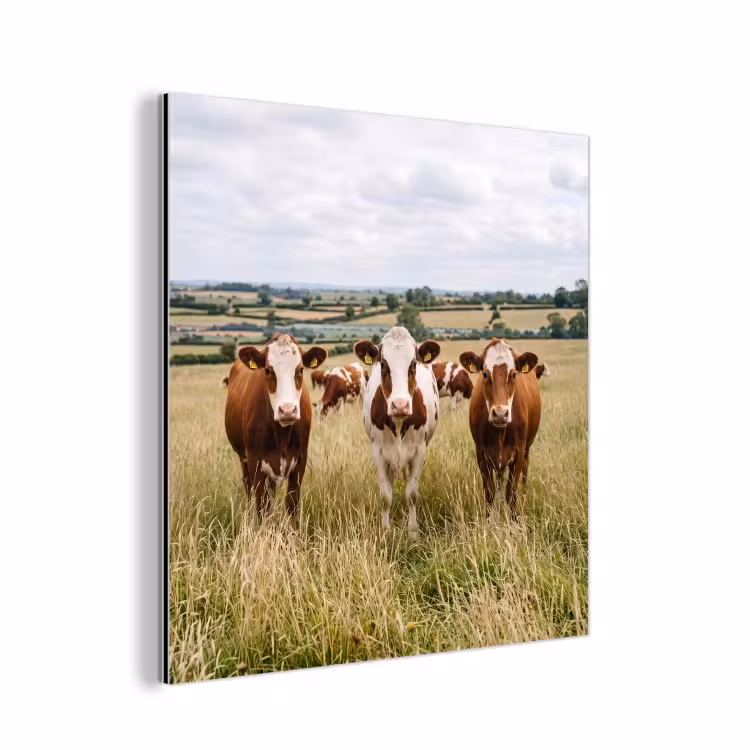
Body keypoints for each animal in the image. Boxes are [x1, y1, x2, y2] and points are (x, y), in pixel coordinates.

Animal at [224, 333, 328, 522]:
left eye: (300, 369)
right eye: (267, 370)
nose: (287, 410)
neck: (282, 435)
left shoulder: (300, 461)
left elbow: (292, 504)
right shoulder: (255, 462)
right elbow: (261, 507)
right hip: (243, 457)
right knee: (248, 485)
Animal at [354, 327, 440, 538]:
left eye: (413, 364)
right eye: (384, 365)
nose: (400, 405)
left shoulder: (419, 452)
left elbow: (412, 494)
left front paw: (413, 532)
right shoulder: (378, 452)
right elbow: (385, 495)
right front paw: (386, 530)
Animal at [459, 338, 540, 521]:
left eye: (514, 374)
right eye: (484, 374)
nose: (501, 414)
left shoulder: (518, 452)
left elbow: (511, 493)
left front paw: (514, 521)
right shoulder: (481, 454)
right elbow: (489, 494)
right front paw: (489, 521)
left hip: (527, 448)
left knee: (525, 470)